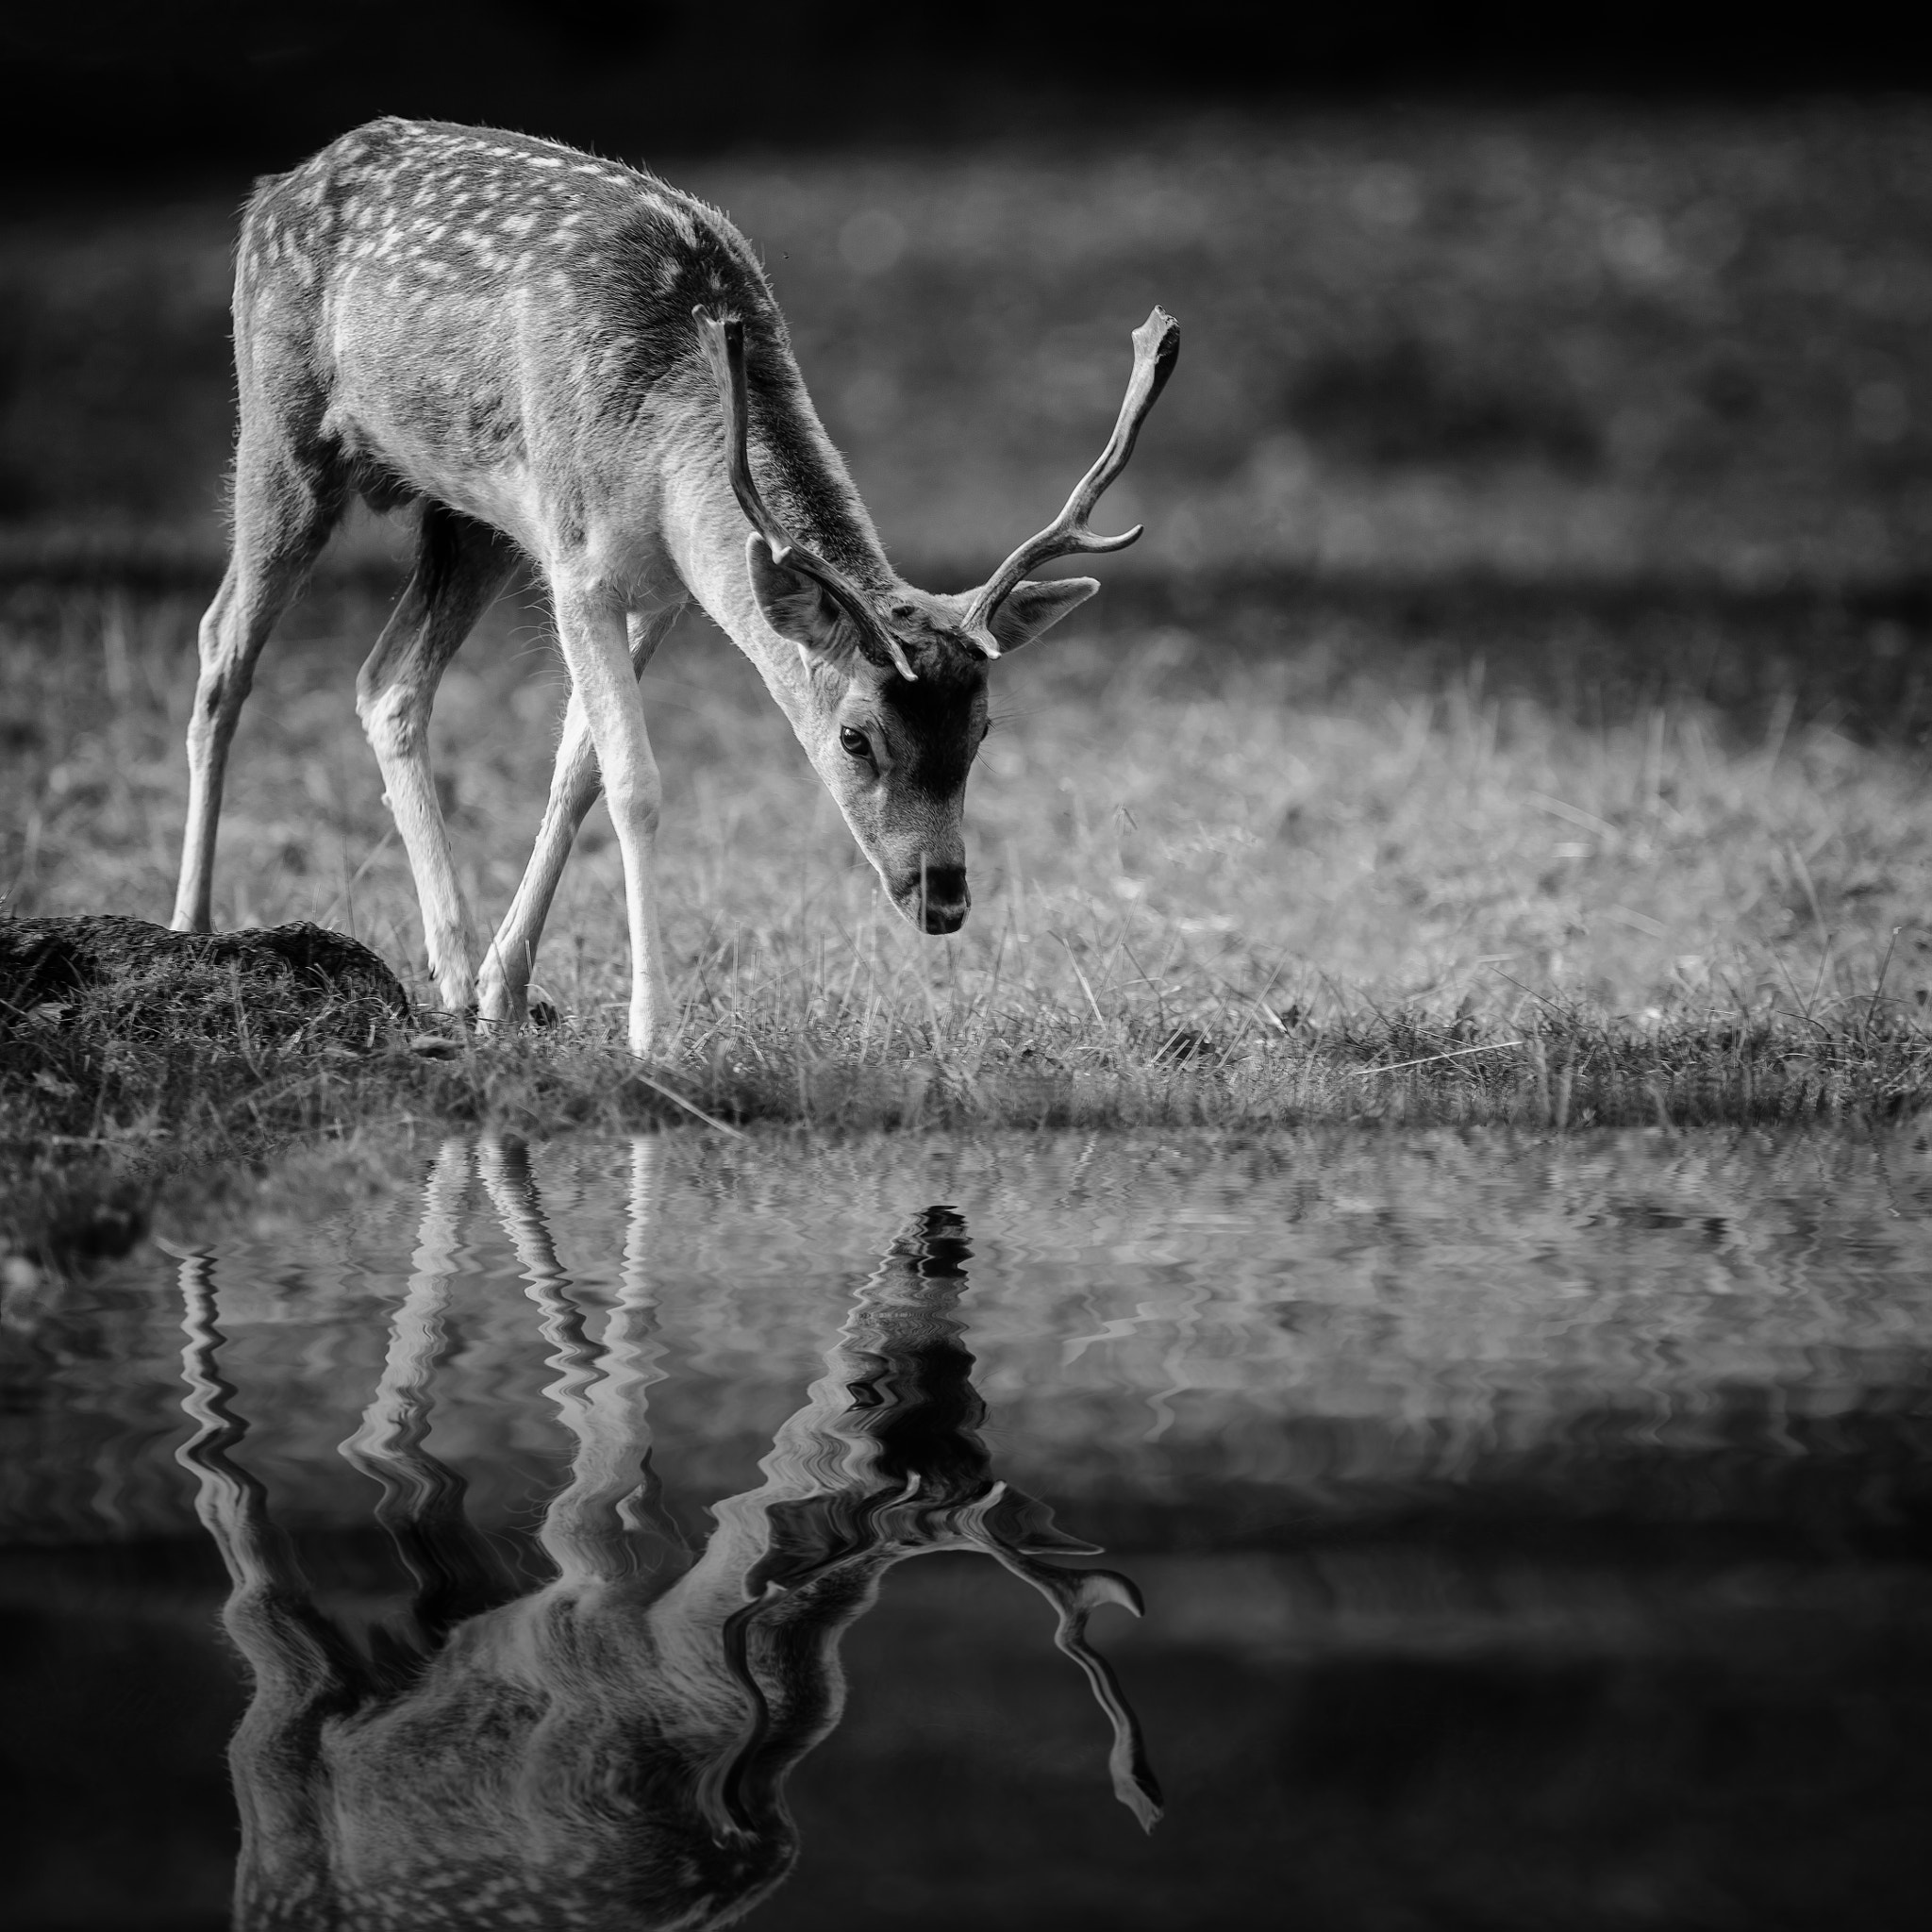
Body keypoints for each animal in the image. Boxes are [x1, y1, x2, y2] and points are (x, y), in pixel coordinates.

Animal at [174, 116, 1174, 1058]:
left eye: (983, 729)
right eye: (855, 737)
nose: (944, 899)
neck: (664, 434)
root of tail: (272, 190)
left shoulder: (664, 589)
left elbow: (575, 771)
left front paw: (506, 994)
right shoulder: (578, 562)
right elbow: (633, 783)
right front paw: (651, 1032)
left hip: (467, 518)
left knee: (386, 682)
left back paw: (451, 976)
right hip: (282, 424)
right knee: (223, 647)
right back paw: (193, 930)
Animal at [174, 1136, 1151, 1924]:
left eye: (976, 1402)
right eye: (873, 1390)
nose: (941, 1243)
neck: (689, 1658)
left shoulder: (602, 1574)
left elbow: (606, 1409)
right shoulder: (586, 1584)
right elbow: (607, 1393)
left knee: (381, 1488)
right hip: (279, 1768)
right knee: (259, 1532)